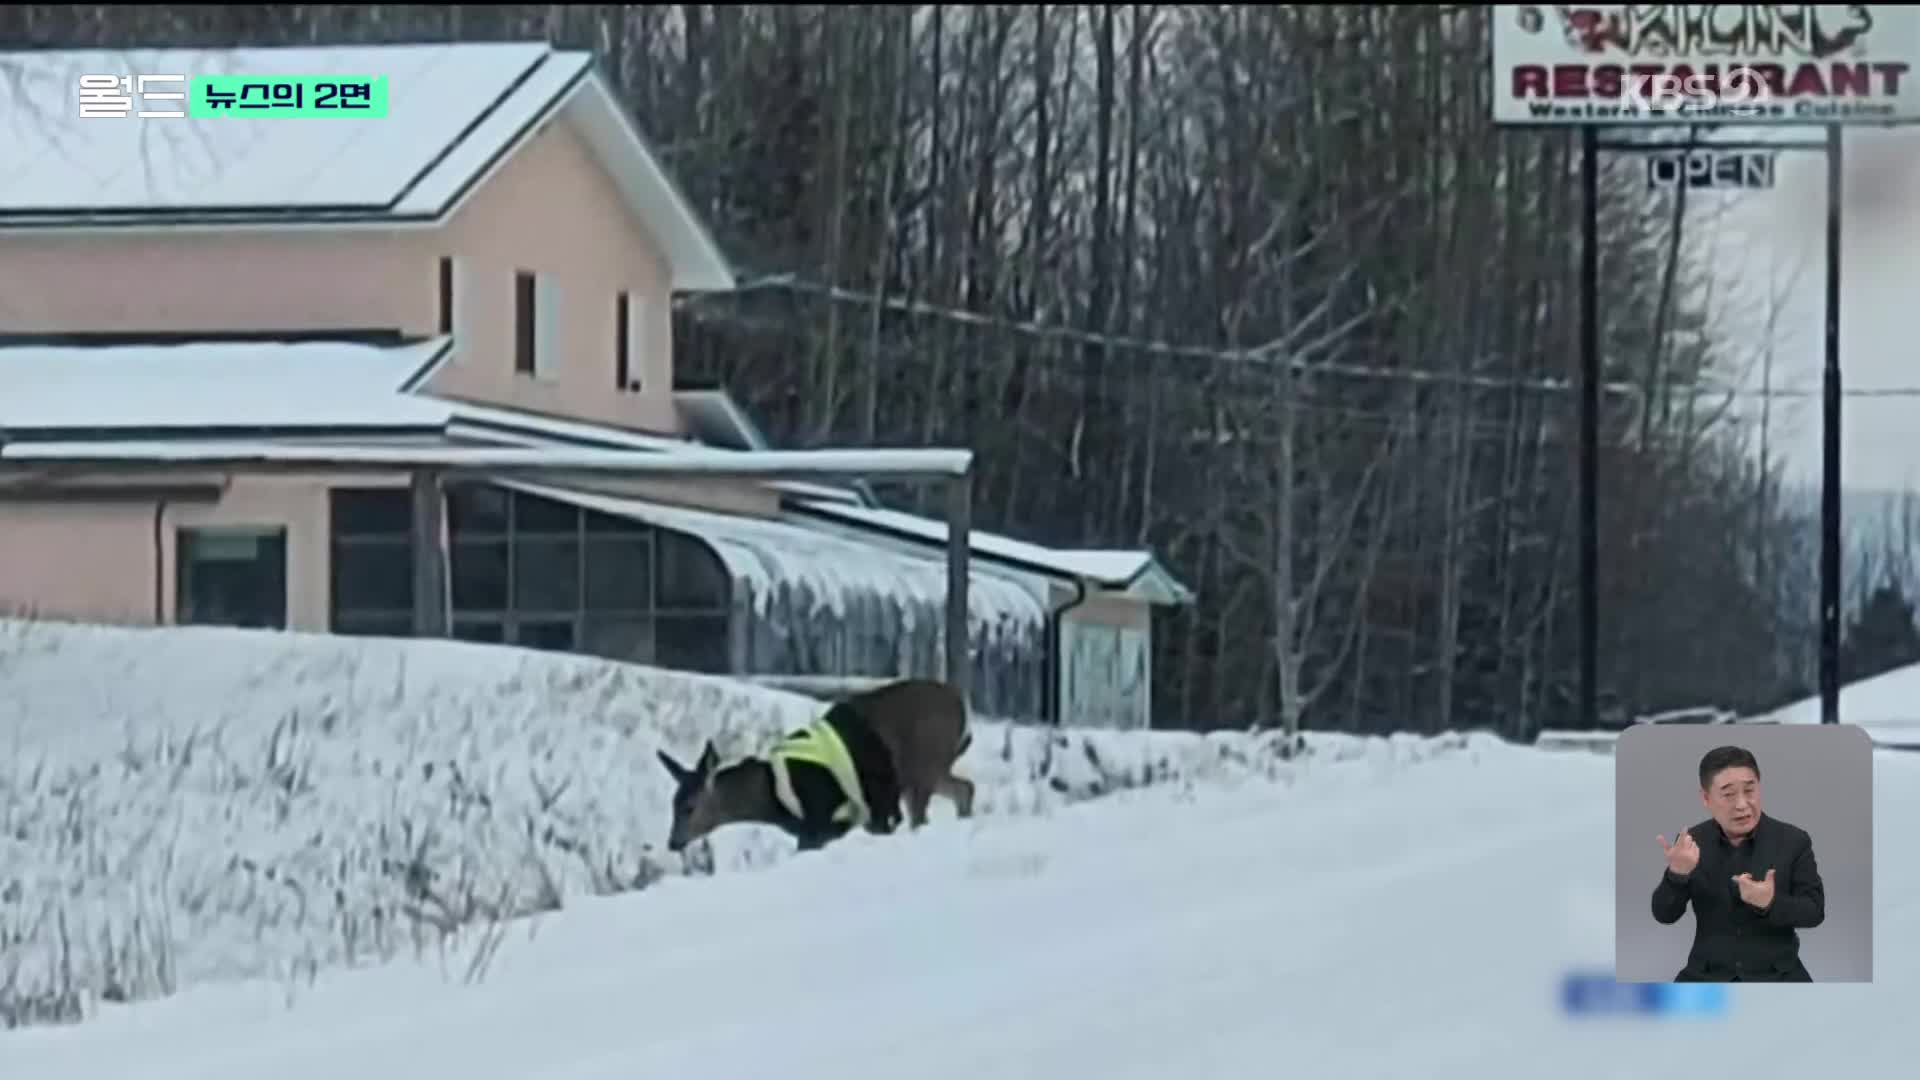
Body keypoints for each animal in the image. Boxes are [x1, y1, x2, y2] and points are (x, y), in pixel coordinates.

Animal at [664, 680, 975, 849]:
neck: (771, 796)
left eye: (689, 807)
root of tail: (961, 704)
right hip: (925, 770)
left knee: (924, 815)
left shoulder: (823, 817)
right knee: (965, 788)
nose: (673, 843)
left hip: (924, 760)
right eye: (673, 803)